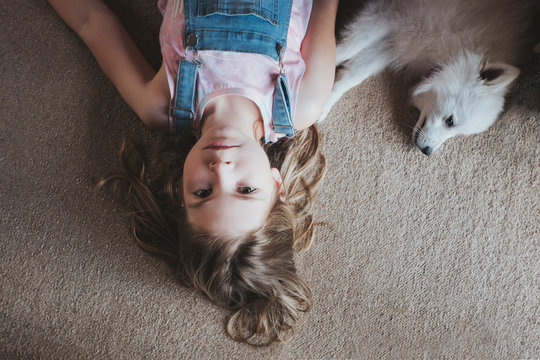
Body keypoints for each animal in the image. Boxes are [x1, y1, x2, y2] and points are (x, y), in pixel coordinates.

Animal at [320, 0, 536, 155]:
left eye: (458, 132)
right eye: (450, 121)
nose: (427, 152)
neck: (456, 52)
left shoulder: (396, 44)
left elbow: (353, 75)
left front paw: (324, 102)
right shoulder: (391, 15)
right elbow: (348, 49)